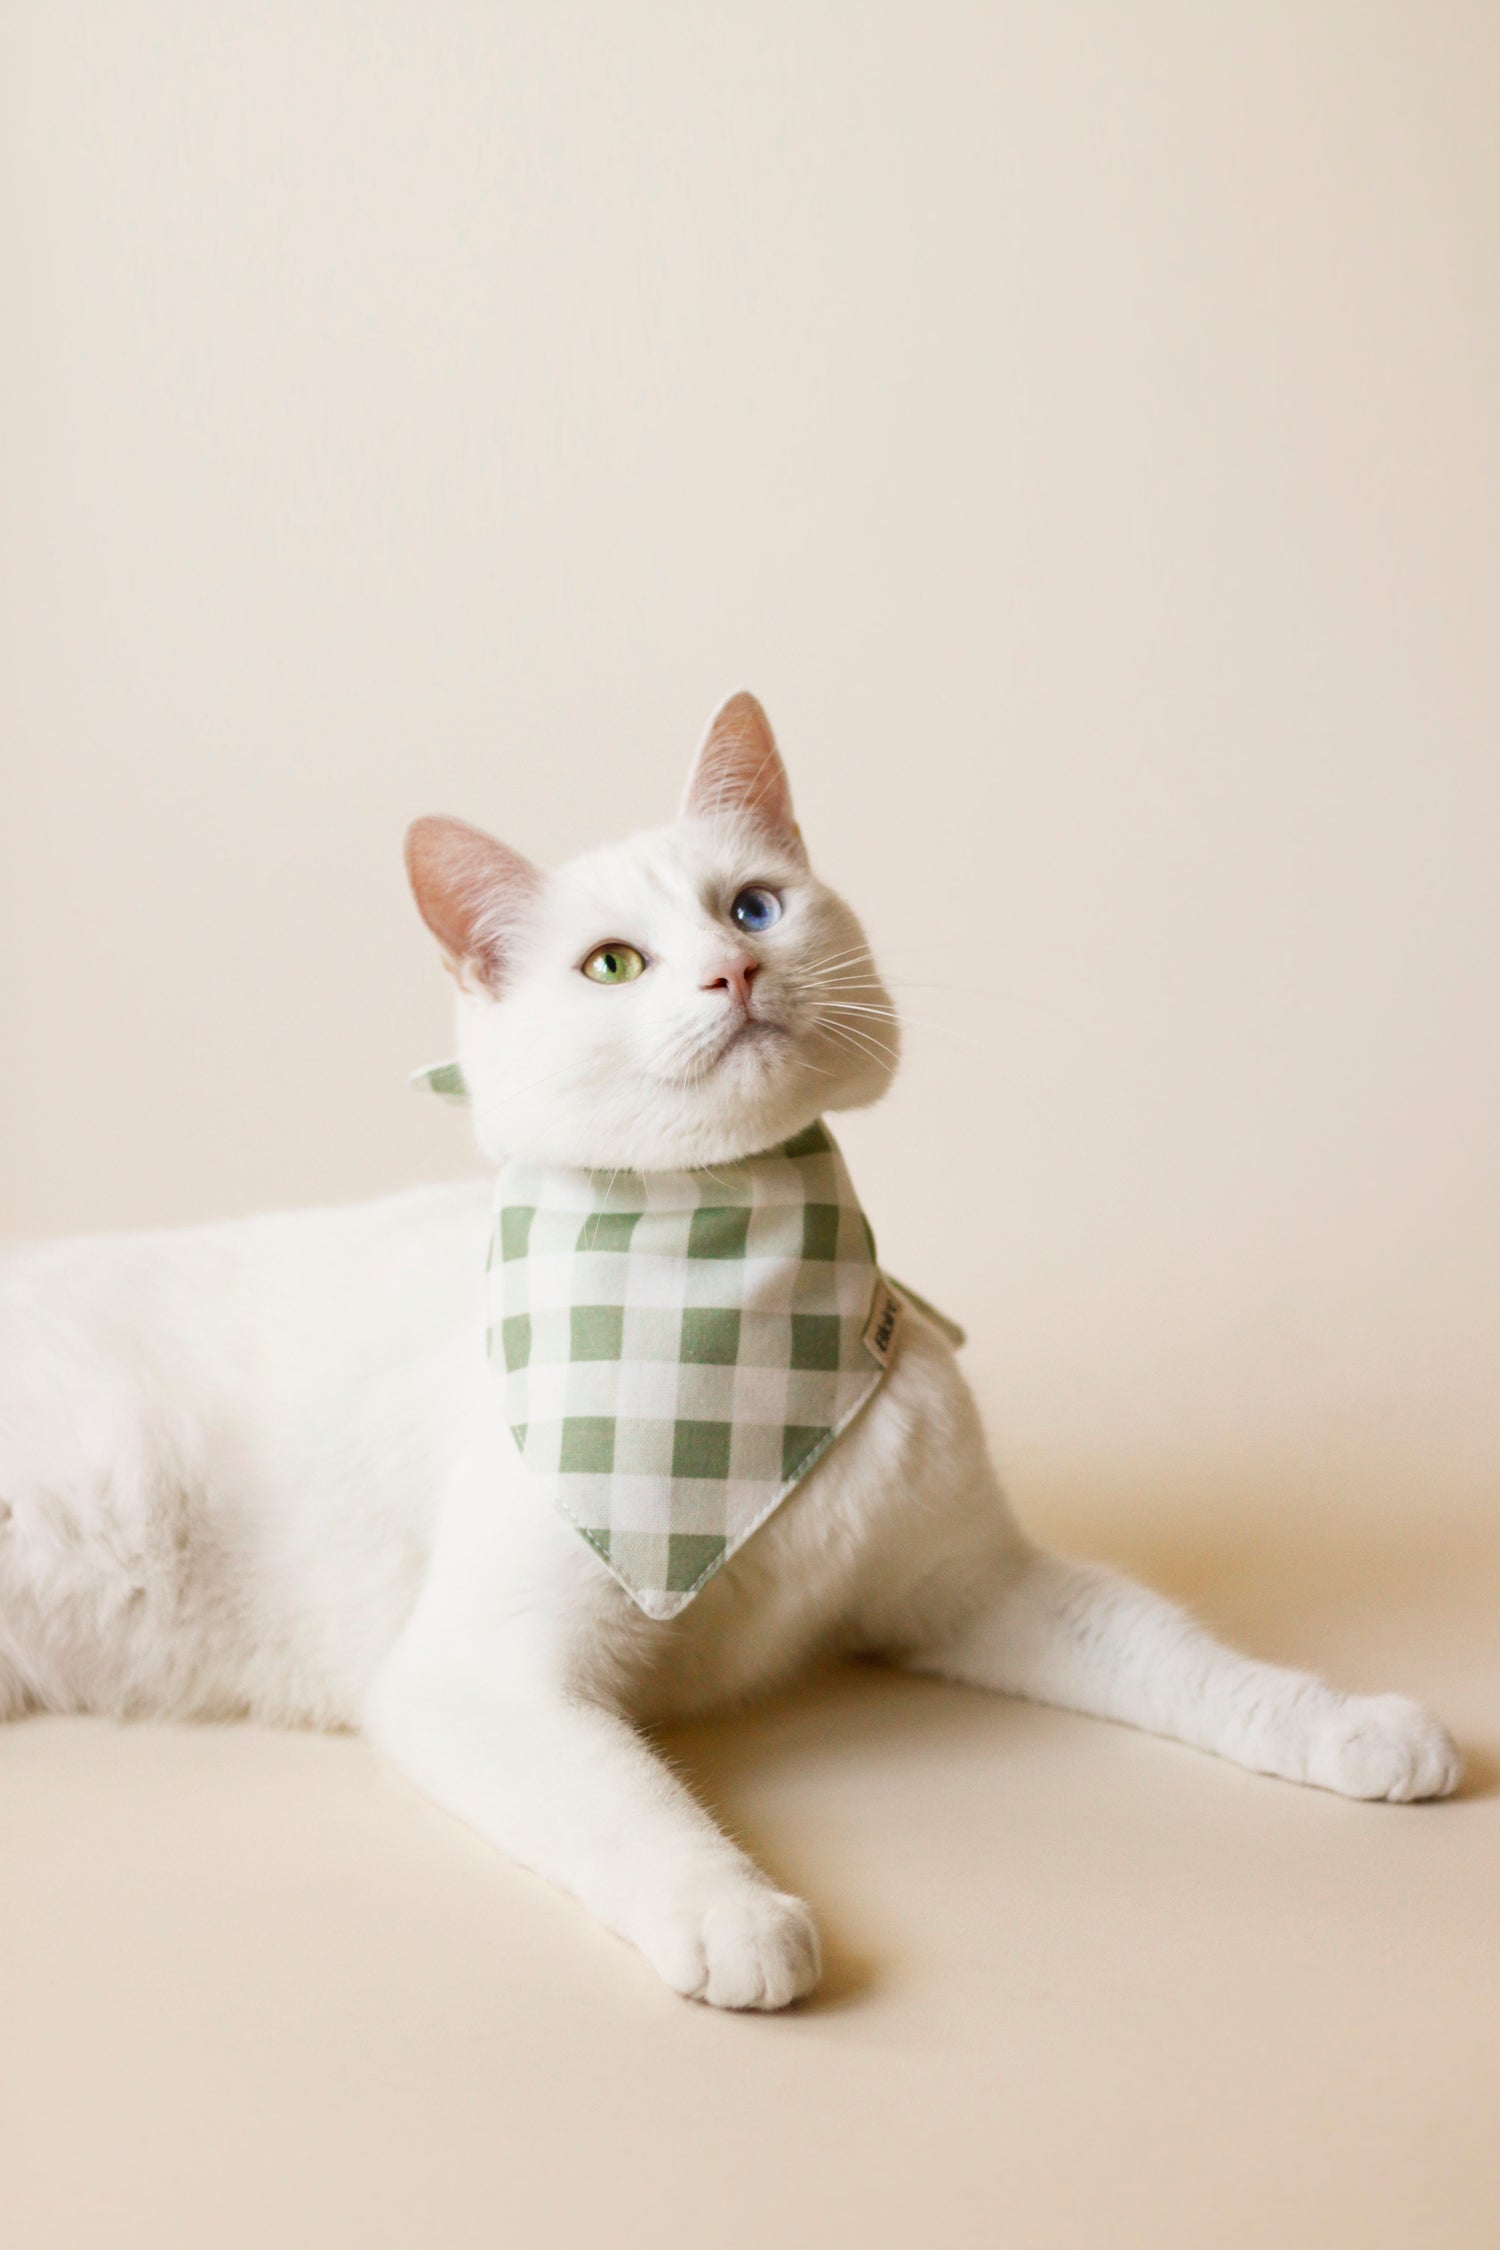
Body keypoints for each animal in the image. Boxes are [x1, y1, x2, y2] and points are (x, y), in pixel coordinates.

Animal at [0, 688, 1457, 2007]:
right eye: (612, 964)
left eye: (755, 907)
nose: (736, 969)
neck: (739, 1337)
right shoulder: (477, 1674)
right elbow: (625, 1800)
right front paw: (733, 1914)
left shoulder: (982, 1586)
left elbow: (1191, 1662)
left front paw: (1351, 1727)